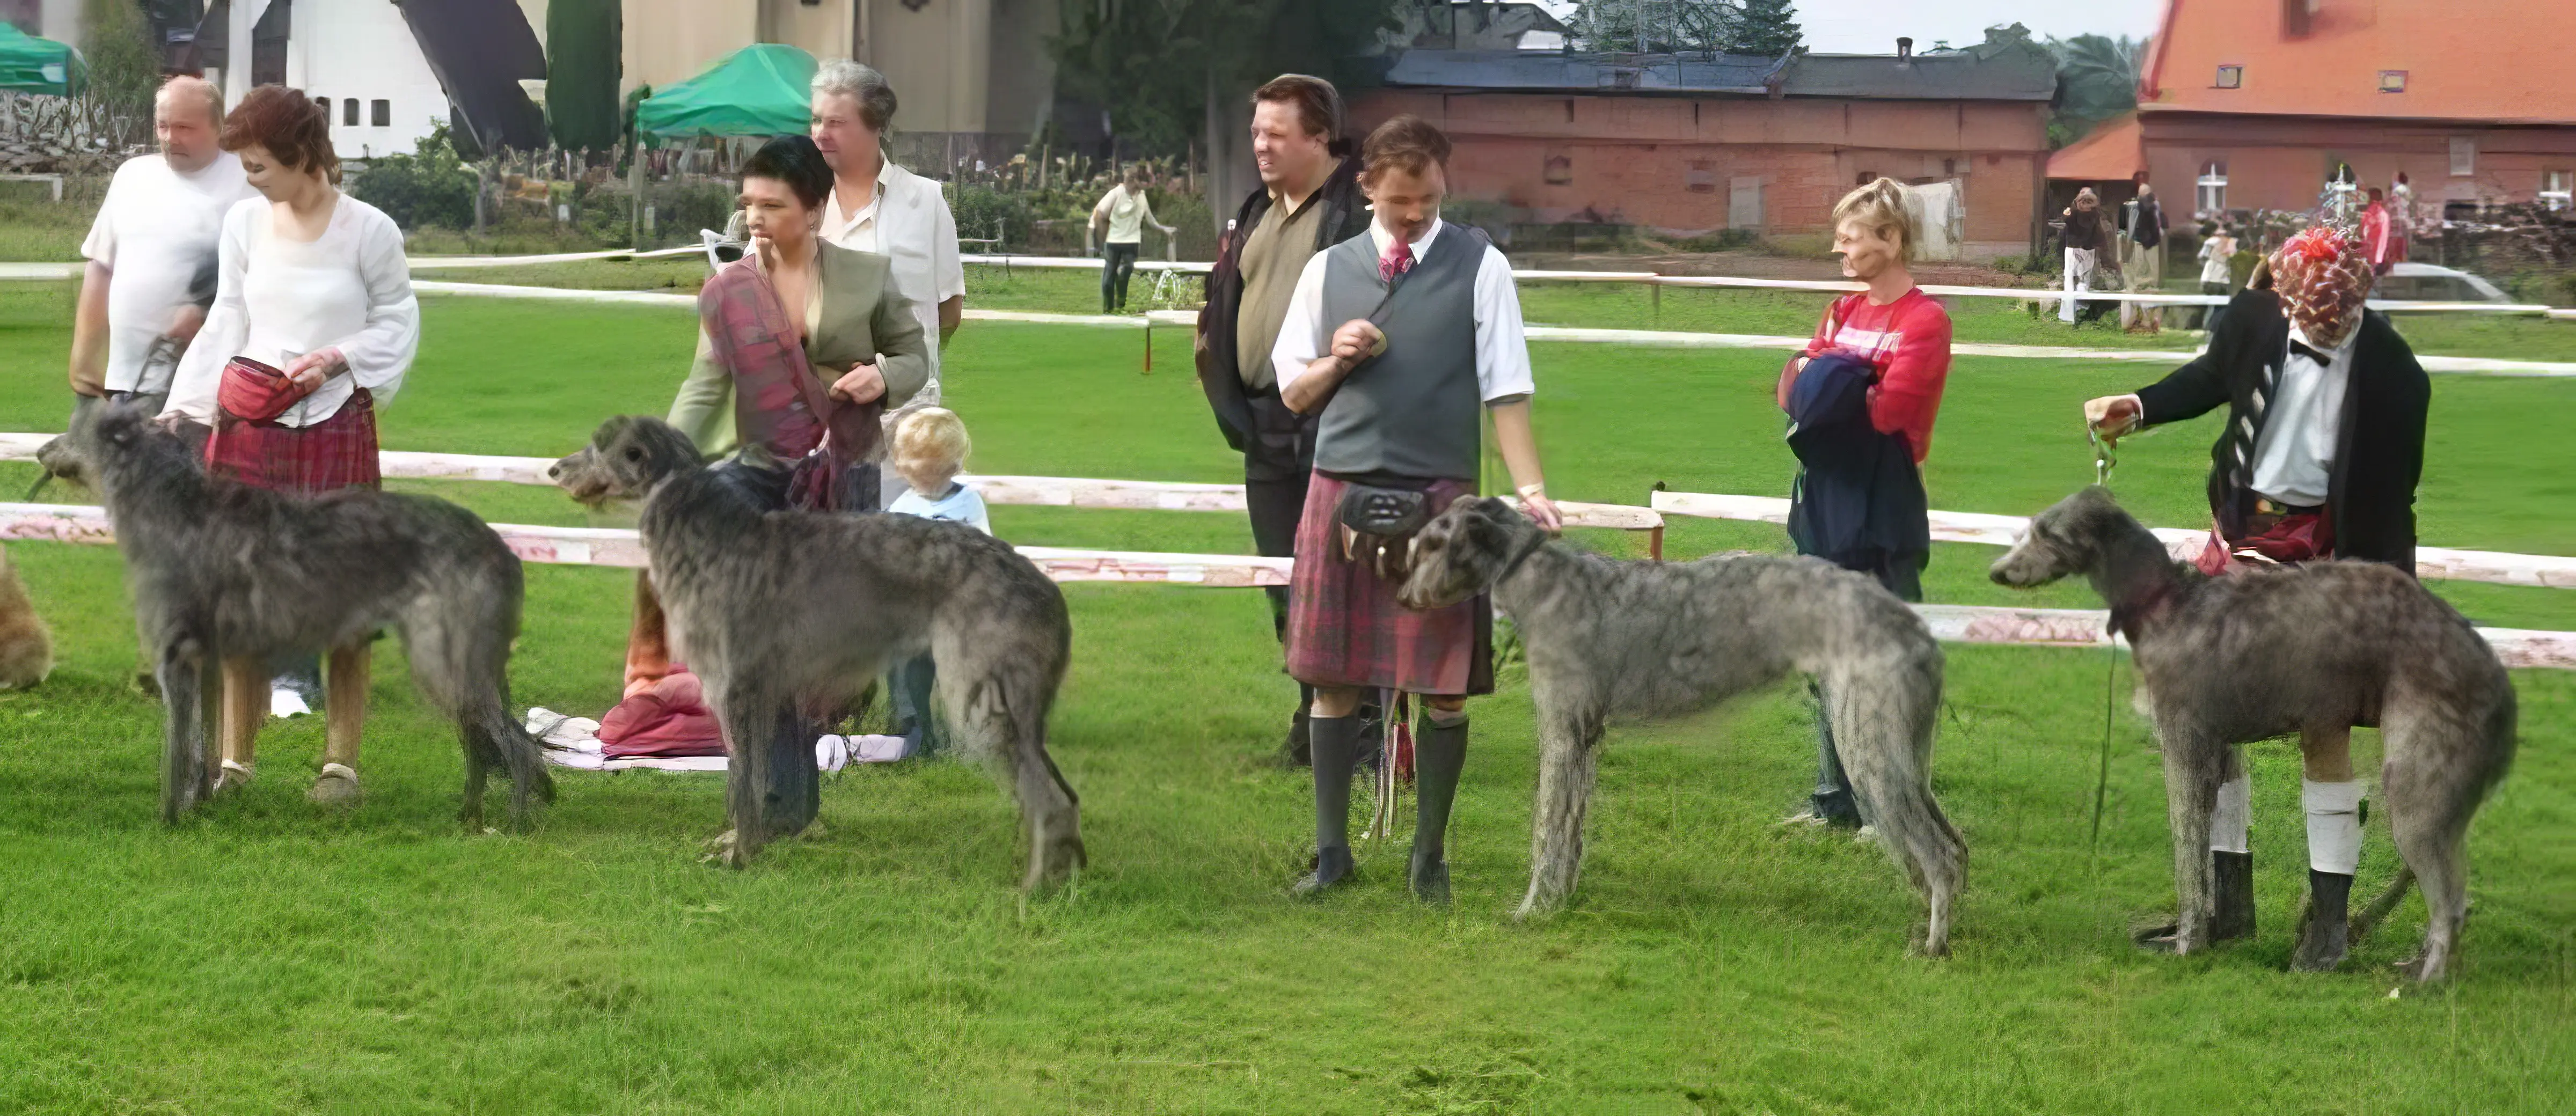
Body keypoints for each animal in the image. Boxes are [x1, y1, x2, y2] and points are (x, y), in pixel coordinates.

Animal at [65, 402, 554, 825]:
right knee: (481, 742)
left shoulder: (176, 658)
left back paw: (513, 823)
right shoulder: (206, 662)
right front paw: (199, 803)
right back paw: (470, 816)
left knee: (518, 746)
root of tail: (500, 549)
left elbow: (176, 751)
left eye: (71, 433)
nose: (48, 450)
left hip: (446, 657)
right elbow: (200, 748)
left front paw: (168, 818)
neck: (173, 506)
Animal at [554, 412, 1087, 881]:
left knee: (1049, 797)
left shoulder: (739, 690)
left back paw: (1038, 886)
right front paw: (741, 843)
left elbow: (745, 783)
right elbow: (744, 778)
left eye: (600, 445)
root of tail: (1045, 587)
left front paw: (740, 856)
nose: (555, 469)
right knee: (1062, 794)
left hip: (984, 694)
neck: (711, 539)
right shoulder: (756, 695)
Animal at [1401, 500, 1958, 953]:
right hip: (1897, 752)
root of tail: (1913, 624)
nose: (1404, 599)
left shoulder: (1562, 735)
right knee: (1952, 844)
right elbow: (1570, 836)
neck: (1544, 582)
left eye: (1433, 543)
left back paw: (1934, 945)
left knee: (1942, 851)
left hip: (1870, 748)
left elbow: (1547, 833)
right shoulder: (1585, 741)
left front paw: (1532, 910)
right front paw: (1561, 902)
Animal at [1988, 482, 2514, 979]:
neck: (2168, 605)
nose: (1996, 573)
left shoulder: (2182, 745)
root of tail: (2498, 680)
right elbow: (2209, 851)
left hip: (2414, 781)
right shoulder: (2217, 749)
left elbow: (2186, 858)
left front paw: (2188, 945)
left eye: (2047, 533)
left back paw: (2423, 979)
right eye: (2031, 528)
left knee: (2451, 900)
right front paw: (2209, 933)